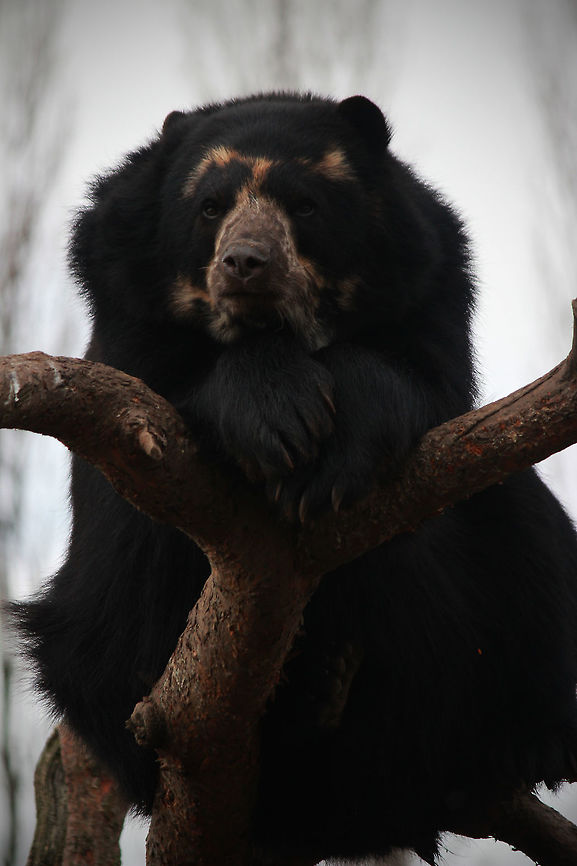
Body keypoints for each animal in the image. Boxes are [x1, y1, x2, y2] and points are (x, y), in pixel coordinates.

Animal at [13, 93, 577, 863]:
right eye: (209, 207)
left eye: (305, 204)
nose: (244, 263)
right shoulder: (125, 308)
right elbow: (164, 394)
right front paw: (281, 421)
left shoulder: (429, 287)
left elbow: (421, 382)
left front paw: (326, 466)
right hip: (102, 645)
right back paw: (308, 698)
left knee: (525, 522)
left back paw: (531, 744)